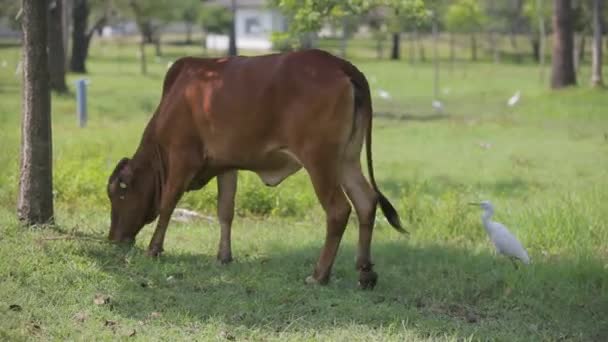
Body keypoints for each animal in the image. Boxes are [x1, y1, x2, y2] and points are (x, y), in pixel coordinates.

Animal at [108, 48, 404, 288]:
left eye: (118, 194)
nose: (113, 239)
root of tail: (341, 65)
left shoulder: (182, 157)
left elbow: (168, 203)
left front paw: (154, 249)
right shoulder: (225, 165)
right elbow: (225, 210)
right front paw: (224, 256)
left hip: (320, 160)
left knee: (339, 210)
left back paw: (319, 275)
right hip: (346, 159)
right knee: (366, 201)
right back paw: (365, 273)